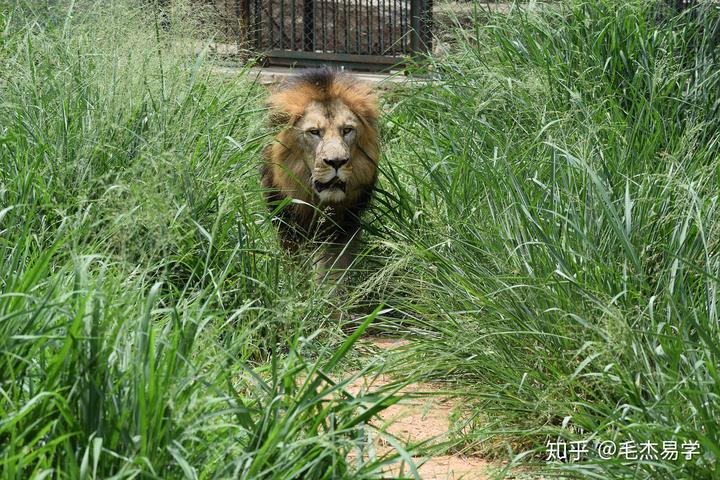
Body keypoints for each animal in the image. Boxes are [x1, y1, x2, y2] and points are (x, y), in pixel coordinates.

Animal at [260, 69, 382, 284]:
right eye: (314, 132)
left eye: (347, 130)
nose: (337, 162)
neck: (317, 202)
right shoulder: (288, 226)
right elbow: (295, 266)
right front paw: (297, 287)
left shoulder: (342, 227)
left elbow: (331, 272)